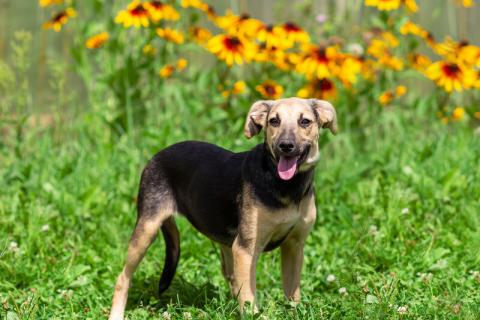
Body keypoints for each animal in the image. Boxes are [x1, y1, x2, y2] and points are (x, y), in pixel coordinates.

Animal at [108, 97, 336, 320]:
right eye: (274, 121)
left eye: (305, 122)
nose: (285, 145)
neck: (287, 186)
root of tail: (157, 155)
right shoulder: (246, 249)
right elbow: (249, 300)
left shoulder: (294, 246)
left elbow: (292, 294)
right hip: (147, 229)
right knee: (122, 279)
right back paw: (116, 314)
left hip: (227, 244)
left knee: (231, 277)